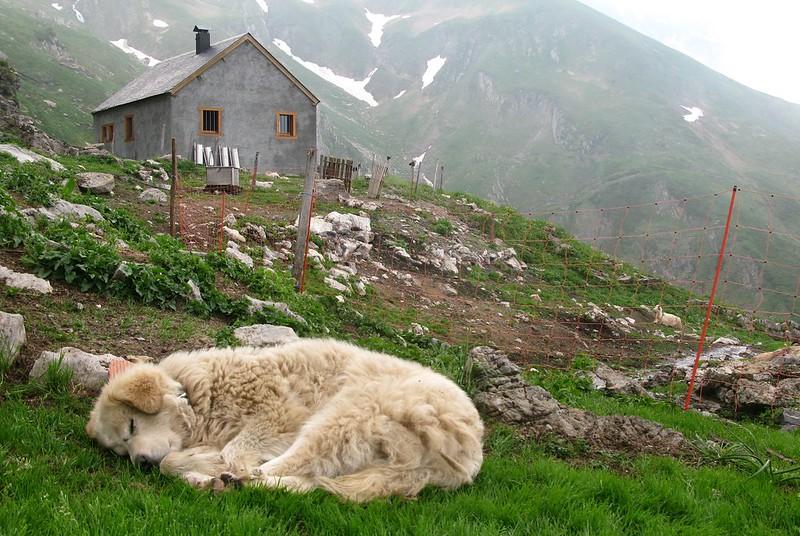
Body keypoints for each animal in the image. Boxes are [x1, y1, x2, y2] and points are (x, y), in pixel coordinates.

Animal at [88, 340, 488, 502]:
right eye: (122, 449)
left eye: (132, 426)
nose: (140, 462)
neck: (203, 393)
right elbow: (172, 461)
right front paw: (198, 468)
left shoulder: (277, 414)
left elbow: (229, 452)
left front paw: (207, 464)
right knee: (309, 481)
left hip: (347, 410)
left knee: (278, 468)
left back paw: (232, 478)